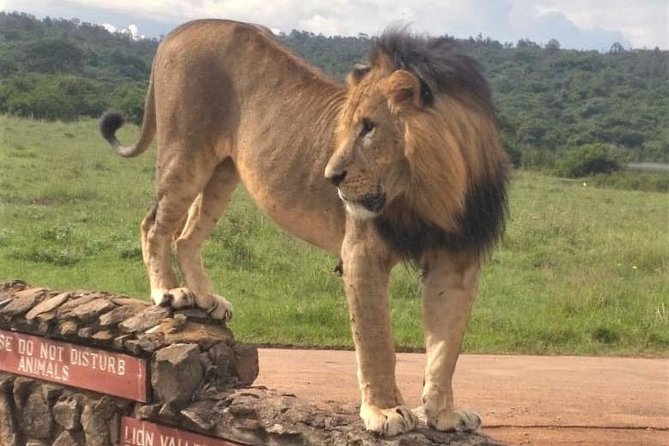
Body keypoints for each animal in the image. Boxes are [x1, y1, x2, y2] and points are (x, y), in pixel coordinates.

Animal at [100, 19, 509, 436]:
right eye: (346, 128)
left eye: (369, 128)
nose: (330, 177)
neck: (434, 190)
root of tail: (180, 29)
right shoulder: (361, 252)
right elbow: (376, 340)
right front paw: (385, 410)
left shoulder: (457, 261)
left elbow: (446, 350)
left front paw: (444, 414)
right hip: (185, 153)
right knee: (154, 225)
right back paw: (169, 292)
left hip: (224, 172)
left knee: (186, 237)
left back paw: (207, 299)